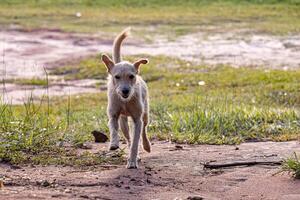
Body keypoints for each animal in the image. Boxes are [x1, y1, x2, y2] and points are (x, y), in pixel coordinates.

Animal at [102, 27, 151, 169]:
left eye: (131, 76)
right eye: (117, 77)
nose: (125, 91)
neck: (125, 101)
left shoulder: (137, 120)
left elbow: (135, 142)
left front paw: (132, 161)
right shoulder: (113, 115)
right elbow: (113, 129)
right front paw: (114, 144)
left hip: (145, 114)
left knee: (144, 130)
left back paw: (146, 146)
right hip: (123, 122)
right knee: (128, 137)